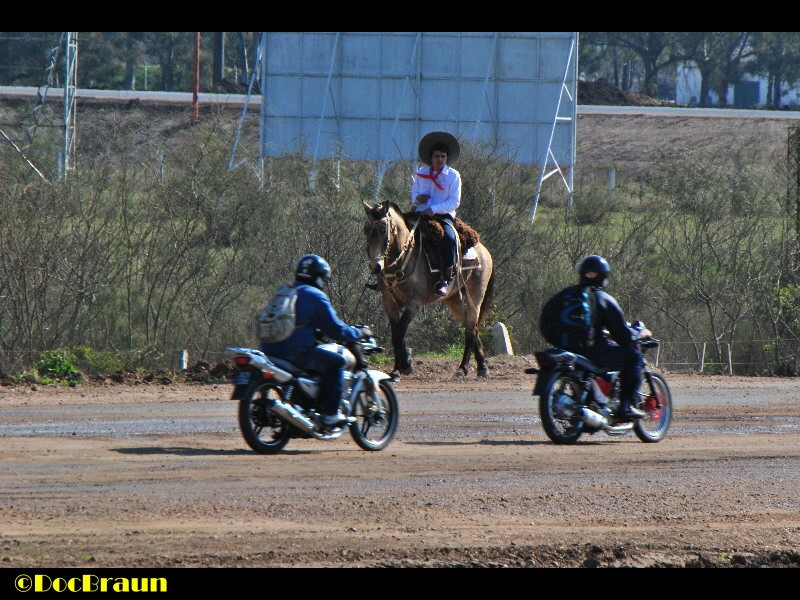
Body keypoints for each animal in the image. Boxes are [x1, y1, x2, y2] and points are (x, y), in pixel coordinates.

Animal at [362, 202, 494, 380]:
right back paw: (482, 366)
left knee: (471, 329)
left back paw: (463, 369)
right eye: (366, 229)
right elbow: (396, 333)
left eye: (383, 229)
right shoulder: (389, 304)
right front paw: (401, 367)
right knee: (471, 326)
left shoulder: (414, 304)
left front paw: (402, 367)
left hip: (475, 297)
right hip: (454, 301)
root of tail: (483, 250)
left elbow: (399, 332)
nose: (375, 267)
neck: (404, 260)